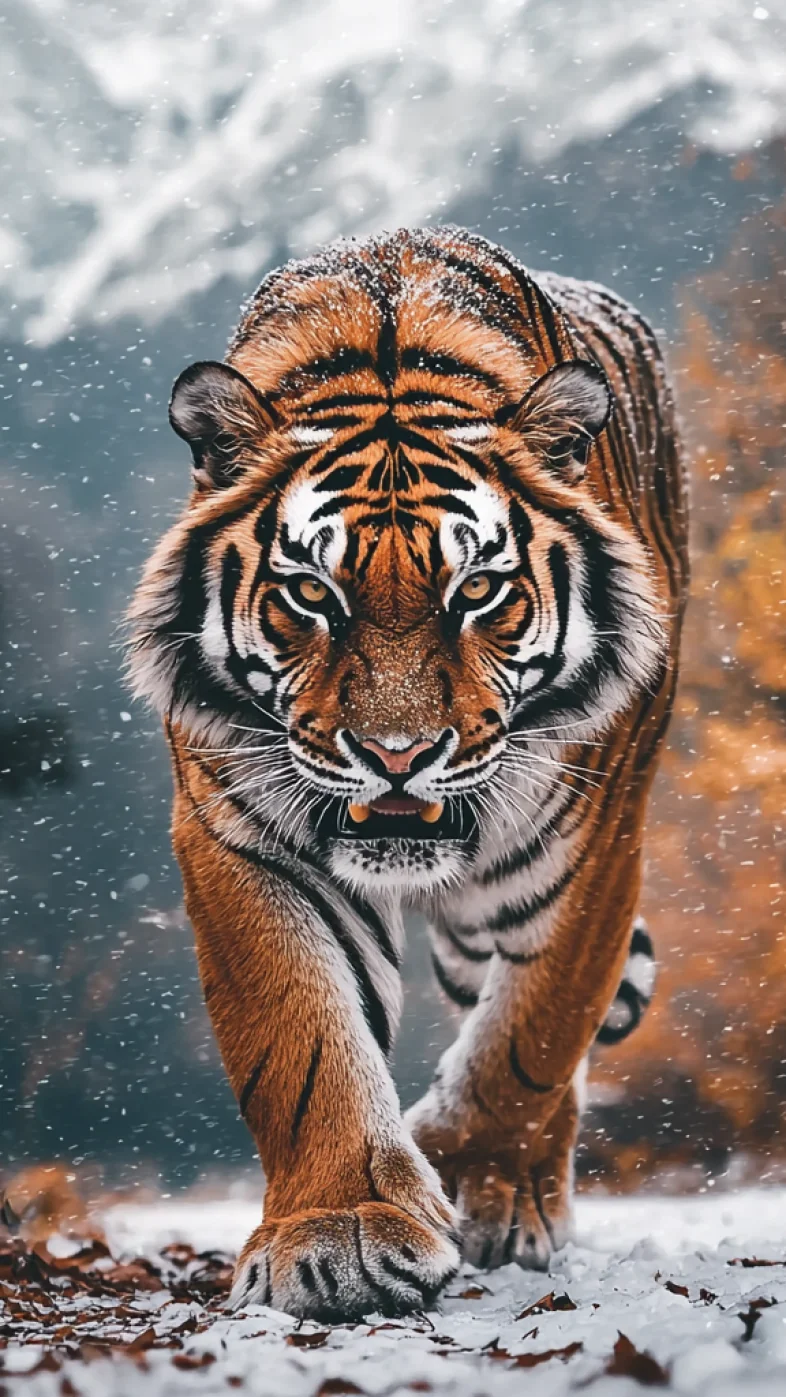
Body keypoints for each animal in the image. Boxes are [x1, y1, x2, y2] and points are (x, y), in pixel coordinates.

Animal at [128, 226, 688, 1322]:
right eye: (312, 592)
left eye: (478, 591)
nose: (396, 754)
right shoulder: (241, 831)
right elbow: (302, 1038)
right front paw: (340, 1228)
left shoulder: (589, 841)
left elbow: (534, 1034)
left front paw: (470, 1179)